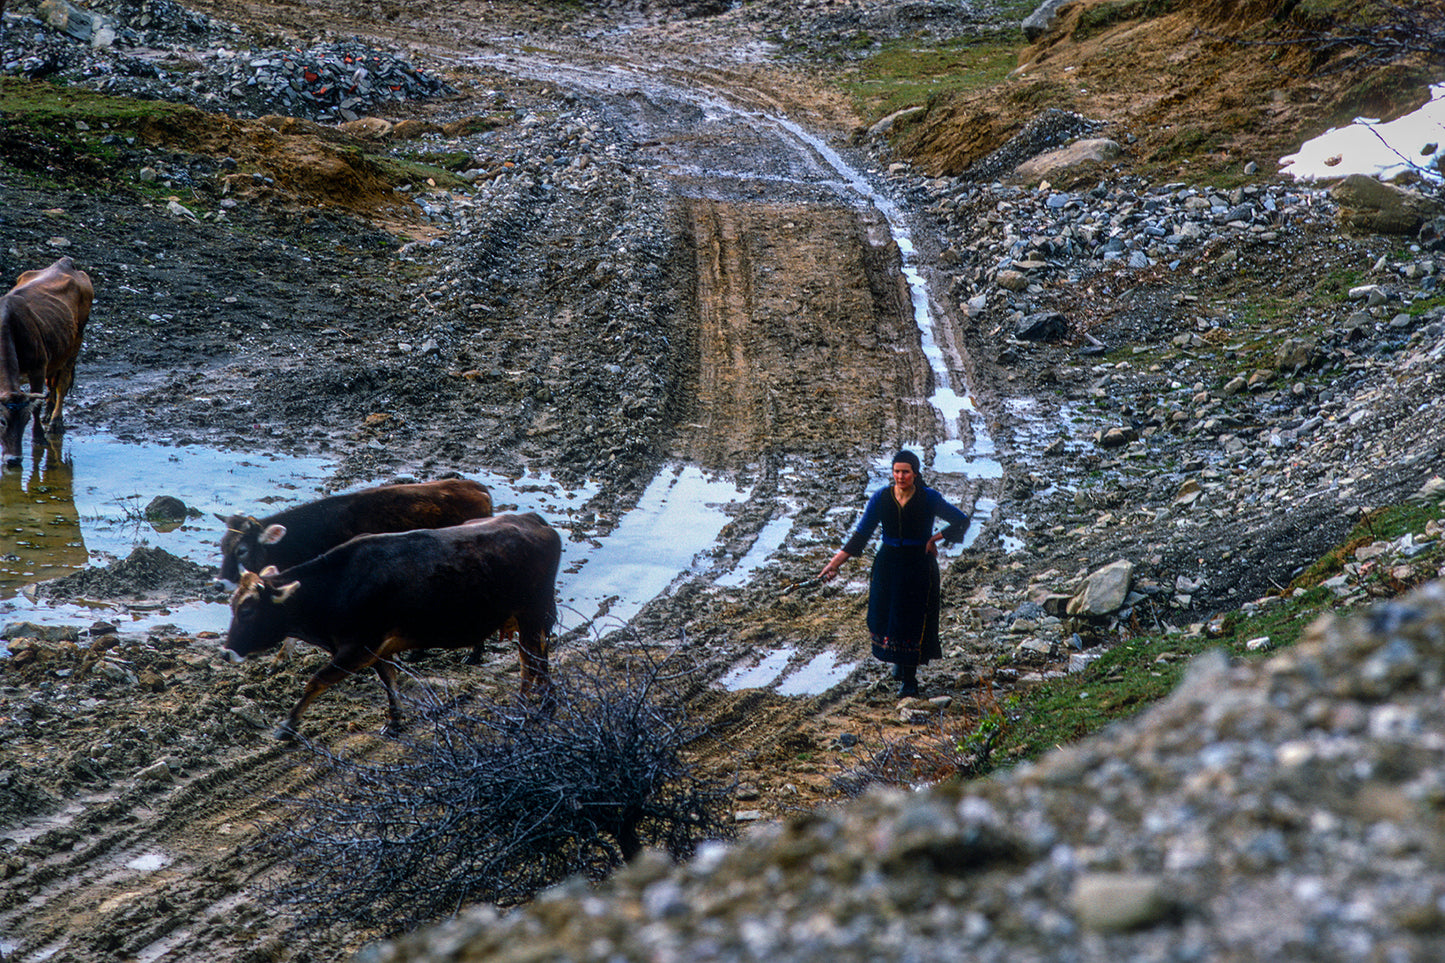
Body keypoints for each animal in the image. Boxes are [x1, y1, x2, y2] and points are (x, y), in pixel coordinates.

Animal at [0, 254, 91, 465]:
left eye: (25, 421)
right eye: (2, 421)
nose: (14, 459)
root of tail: (65, 262)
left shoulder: (37, 368)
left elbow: (35, 406)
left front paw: (38, 438)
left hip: (75, 343)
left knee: (62, 384)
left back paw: (56, 422)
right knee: (52, 384)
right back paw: (49, 413)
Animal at [222, 514, 560, 737]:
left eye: (248, 610)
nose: (226, 652)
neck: (337, 585)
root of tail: (535, 522)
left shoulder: (357, 647)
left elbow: (317, 681)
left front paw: (288, 725)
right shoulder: (377, 649)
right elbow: (389, 681)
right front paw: (396, 721)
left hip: (533, 614)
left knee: (532, 662)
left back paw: (533, 707)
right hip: (528, 618)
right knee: (534, 660)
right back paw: (536, 704)